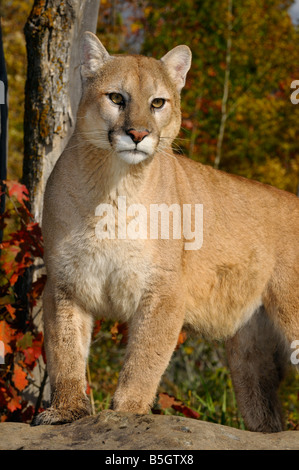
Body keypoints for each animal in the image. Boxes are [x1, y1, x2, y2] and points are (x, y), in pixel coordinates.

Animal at [31, 31, 298, 432]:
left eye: (157, 102)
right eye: (116, 98)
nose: (138, 134)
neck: (115, 188)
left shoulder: (165, 289)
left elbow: (144, 359)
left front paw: (126, 412)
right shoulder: (65, 284)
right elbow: (65, 353)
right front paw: (66, 411)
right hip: (250, 354)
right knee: (266, 413)